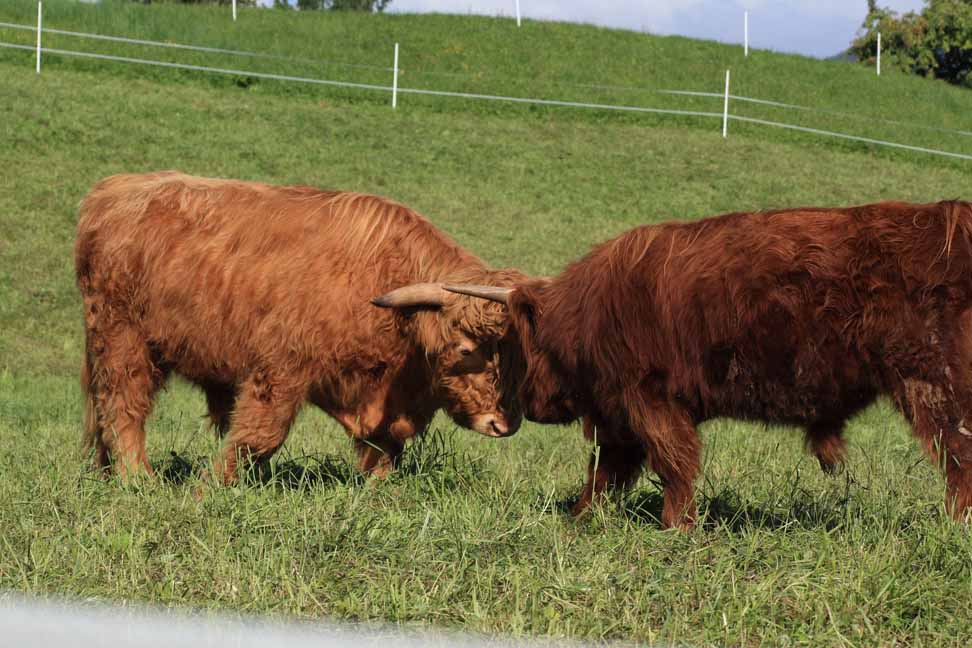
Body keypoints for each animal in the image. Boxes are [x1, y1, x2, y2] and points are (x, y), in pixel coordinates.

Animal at [76, 170, 524, 484]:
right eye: (466, 349)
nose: (504, 424)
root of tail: (111, 190)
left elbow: (385, 450)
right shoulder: (279, 369)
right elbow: (258, 436)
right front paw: (209, 486)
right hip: (123, 340)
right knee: (123, 407)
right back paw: (139, 480)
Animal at [446, 201, 972, 528]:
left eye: (516, 345)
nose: (527, 409)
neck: (589, 310)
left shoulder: (649, 399)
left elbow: (673, 463)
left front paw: (677, 527)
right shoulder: (621, 413)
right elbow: (607, 472)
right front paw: (580, 516)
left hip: (934, 386)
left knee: (957, 457)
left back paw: (954, 526)